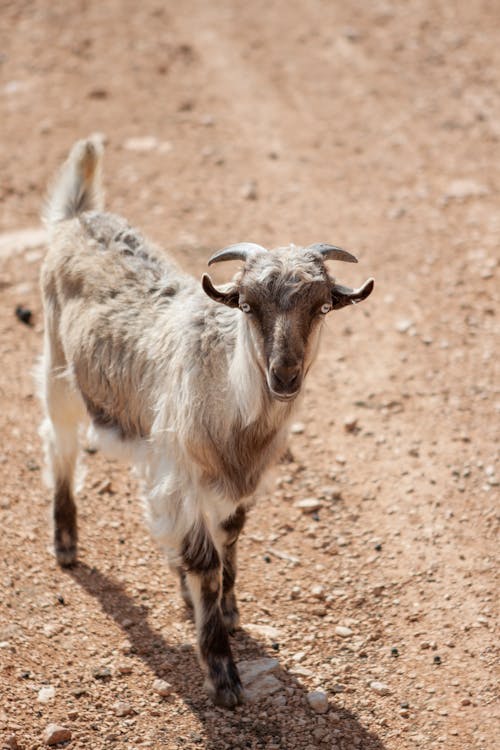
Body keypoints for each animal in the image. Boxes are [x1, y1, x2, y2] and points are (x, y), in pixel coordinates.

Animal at [39, 138, 374, 708]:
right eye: (247, 305)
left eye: (323, 306)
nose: (284, 375)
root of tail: (78, 215)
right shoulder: (181, 473)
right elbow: (205, 562)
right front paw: (223, 673)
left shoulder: (235, 482)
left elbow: (229, 541)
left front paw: (229, 612)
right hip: (60, 368)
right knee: (60, 444)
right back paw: (65, 542)